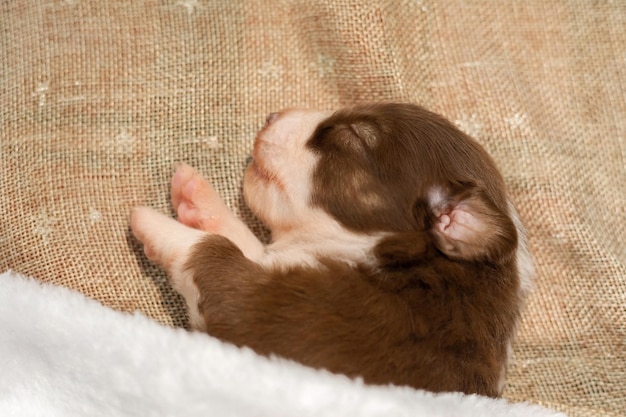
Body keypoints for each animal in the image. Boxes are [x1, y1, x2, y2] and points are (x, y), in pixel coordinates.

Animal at [130, 102, 532, 394]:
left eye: (350, 135)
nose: (271, 116)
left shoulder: (266, 309)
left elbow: (214, 253)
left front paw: (152, 221)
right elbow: (243, 242)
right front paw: (196, 198)